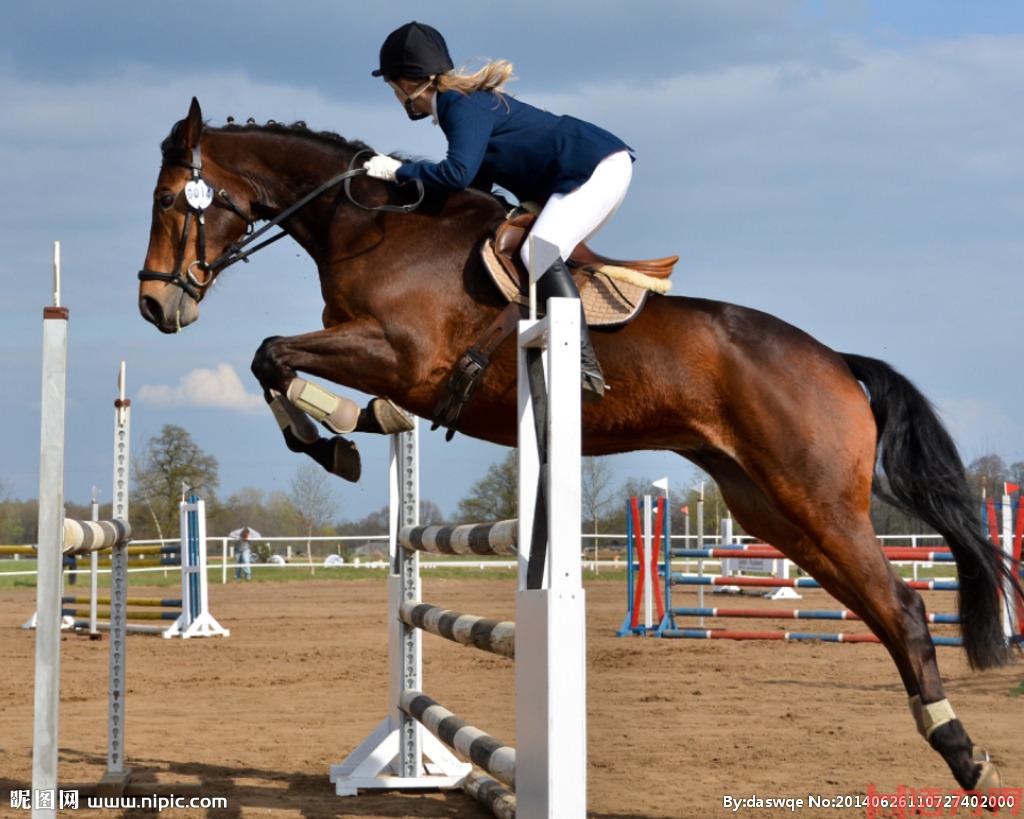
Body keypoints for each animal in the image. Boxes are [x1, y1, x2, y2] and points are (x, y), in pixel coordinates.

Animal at [140, 99, 1019, 798]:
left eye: (169, 201)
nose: (154, 306)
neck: (373, 228)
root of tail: (837, 360)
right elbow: (274, 360)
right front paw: (348, 434)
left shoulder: (402, 356)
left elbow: (272, 353)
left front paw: (334, 442)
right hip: (772, 510)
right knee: (877, 609)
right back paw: (949, 740)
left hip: (818, 500)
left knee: (904, 607)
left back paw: (964, 753)